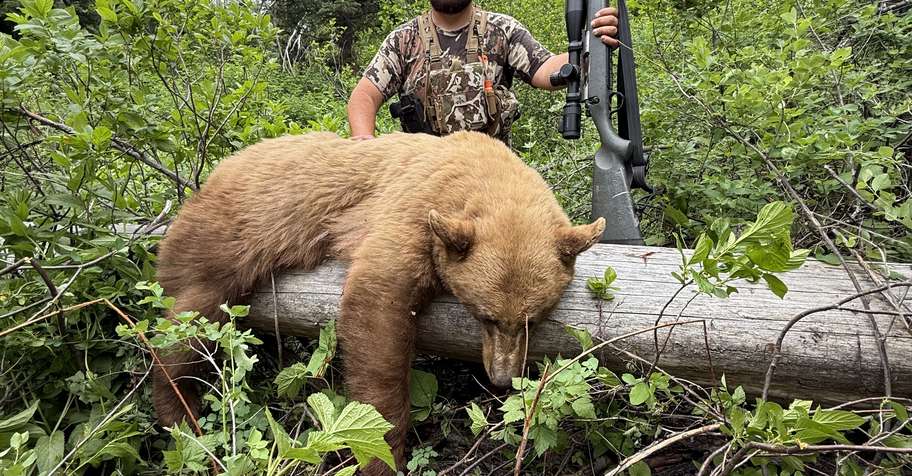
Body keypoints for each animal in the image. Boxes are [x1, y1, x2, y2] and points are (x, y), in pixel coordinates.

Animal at [152, 130, 605, 474]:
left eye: (533, 318)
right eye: (486, 316)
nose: (501, 378)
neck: (476, 171)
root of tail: (212, 175)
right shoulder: (411, 209)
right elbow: (377, 306)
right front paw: (382, 454)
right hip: (225, 235)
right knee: (190, 321)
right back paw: (180, 414)